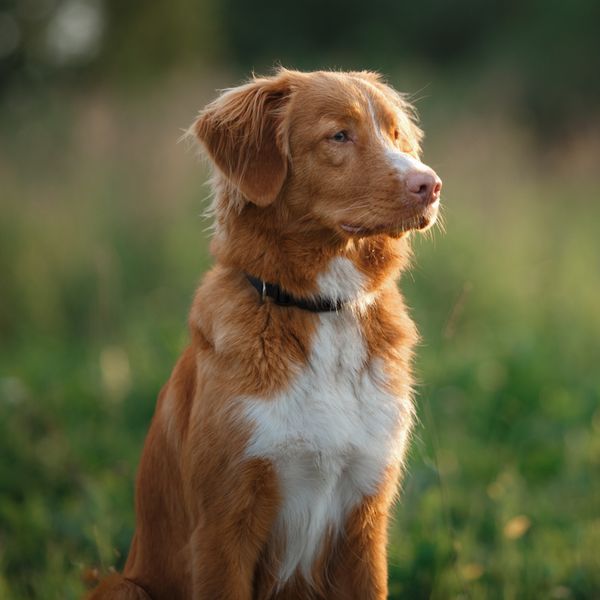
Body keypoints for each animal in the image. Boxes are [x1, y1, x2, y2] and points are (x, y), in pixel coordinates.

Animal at [89, 68, 442, 596]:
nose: (431, 185)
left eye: (396, 134)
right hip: (123, 584)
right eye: (339, 135)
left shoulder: (365, 516)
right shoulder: (224, 525)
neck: (323, 310)